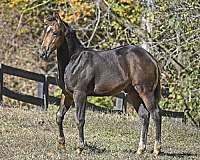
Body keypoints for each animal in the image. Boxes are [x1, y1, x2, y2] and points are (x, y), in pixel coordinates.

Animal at [39, 13, 162, 156]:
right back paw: (140, 149)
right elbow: (59, 116)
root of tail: (151, 58)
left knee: (156, 114)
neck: (74, 60)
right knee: (144, 116)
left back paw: (157, 149)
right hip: (133, 93)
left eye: (55, 32)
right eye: (45, 31)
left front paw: (80, 147)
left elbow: (80, 119)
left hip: (145, 91)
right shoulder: (67, 94)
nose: (43, 53)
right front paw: (61, 145)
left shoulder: (80, 94)